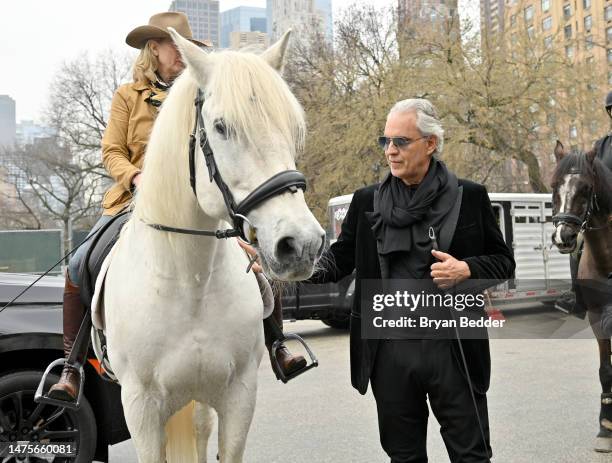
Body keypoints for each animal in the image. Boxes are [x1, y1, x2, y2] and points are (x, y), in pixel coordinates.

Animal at [101, 29, 326, 463]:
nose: (302, 244)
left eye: (292, 128)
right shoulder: (141, 408)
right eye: (221, 127)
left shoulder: (239, 395)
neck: (189, 281)